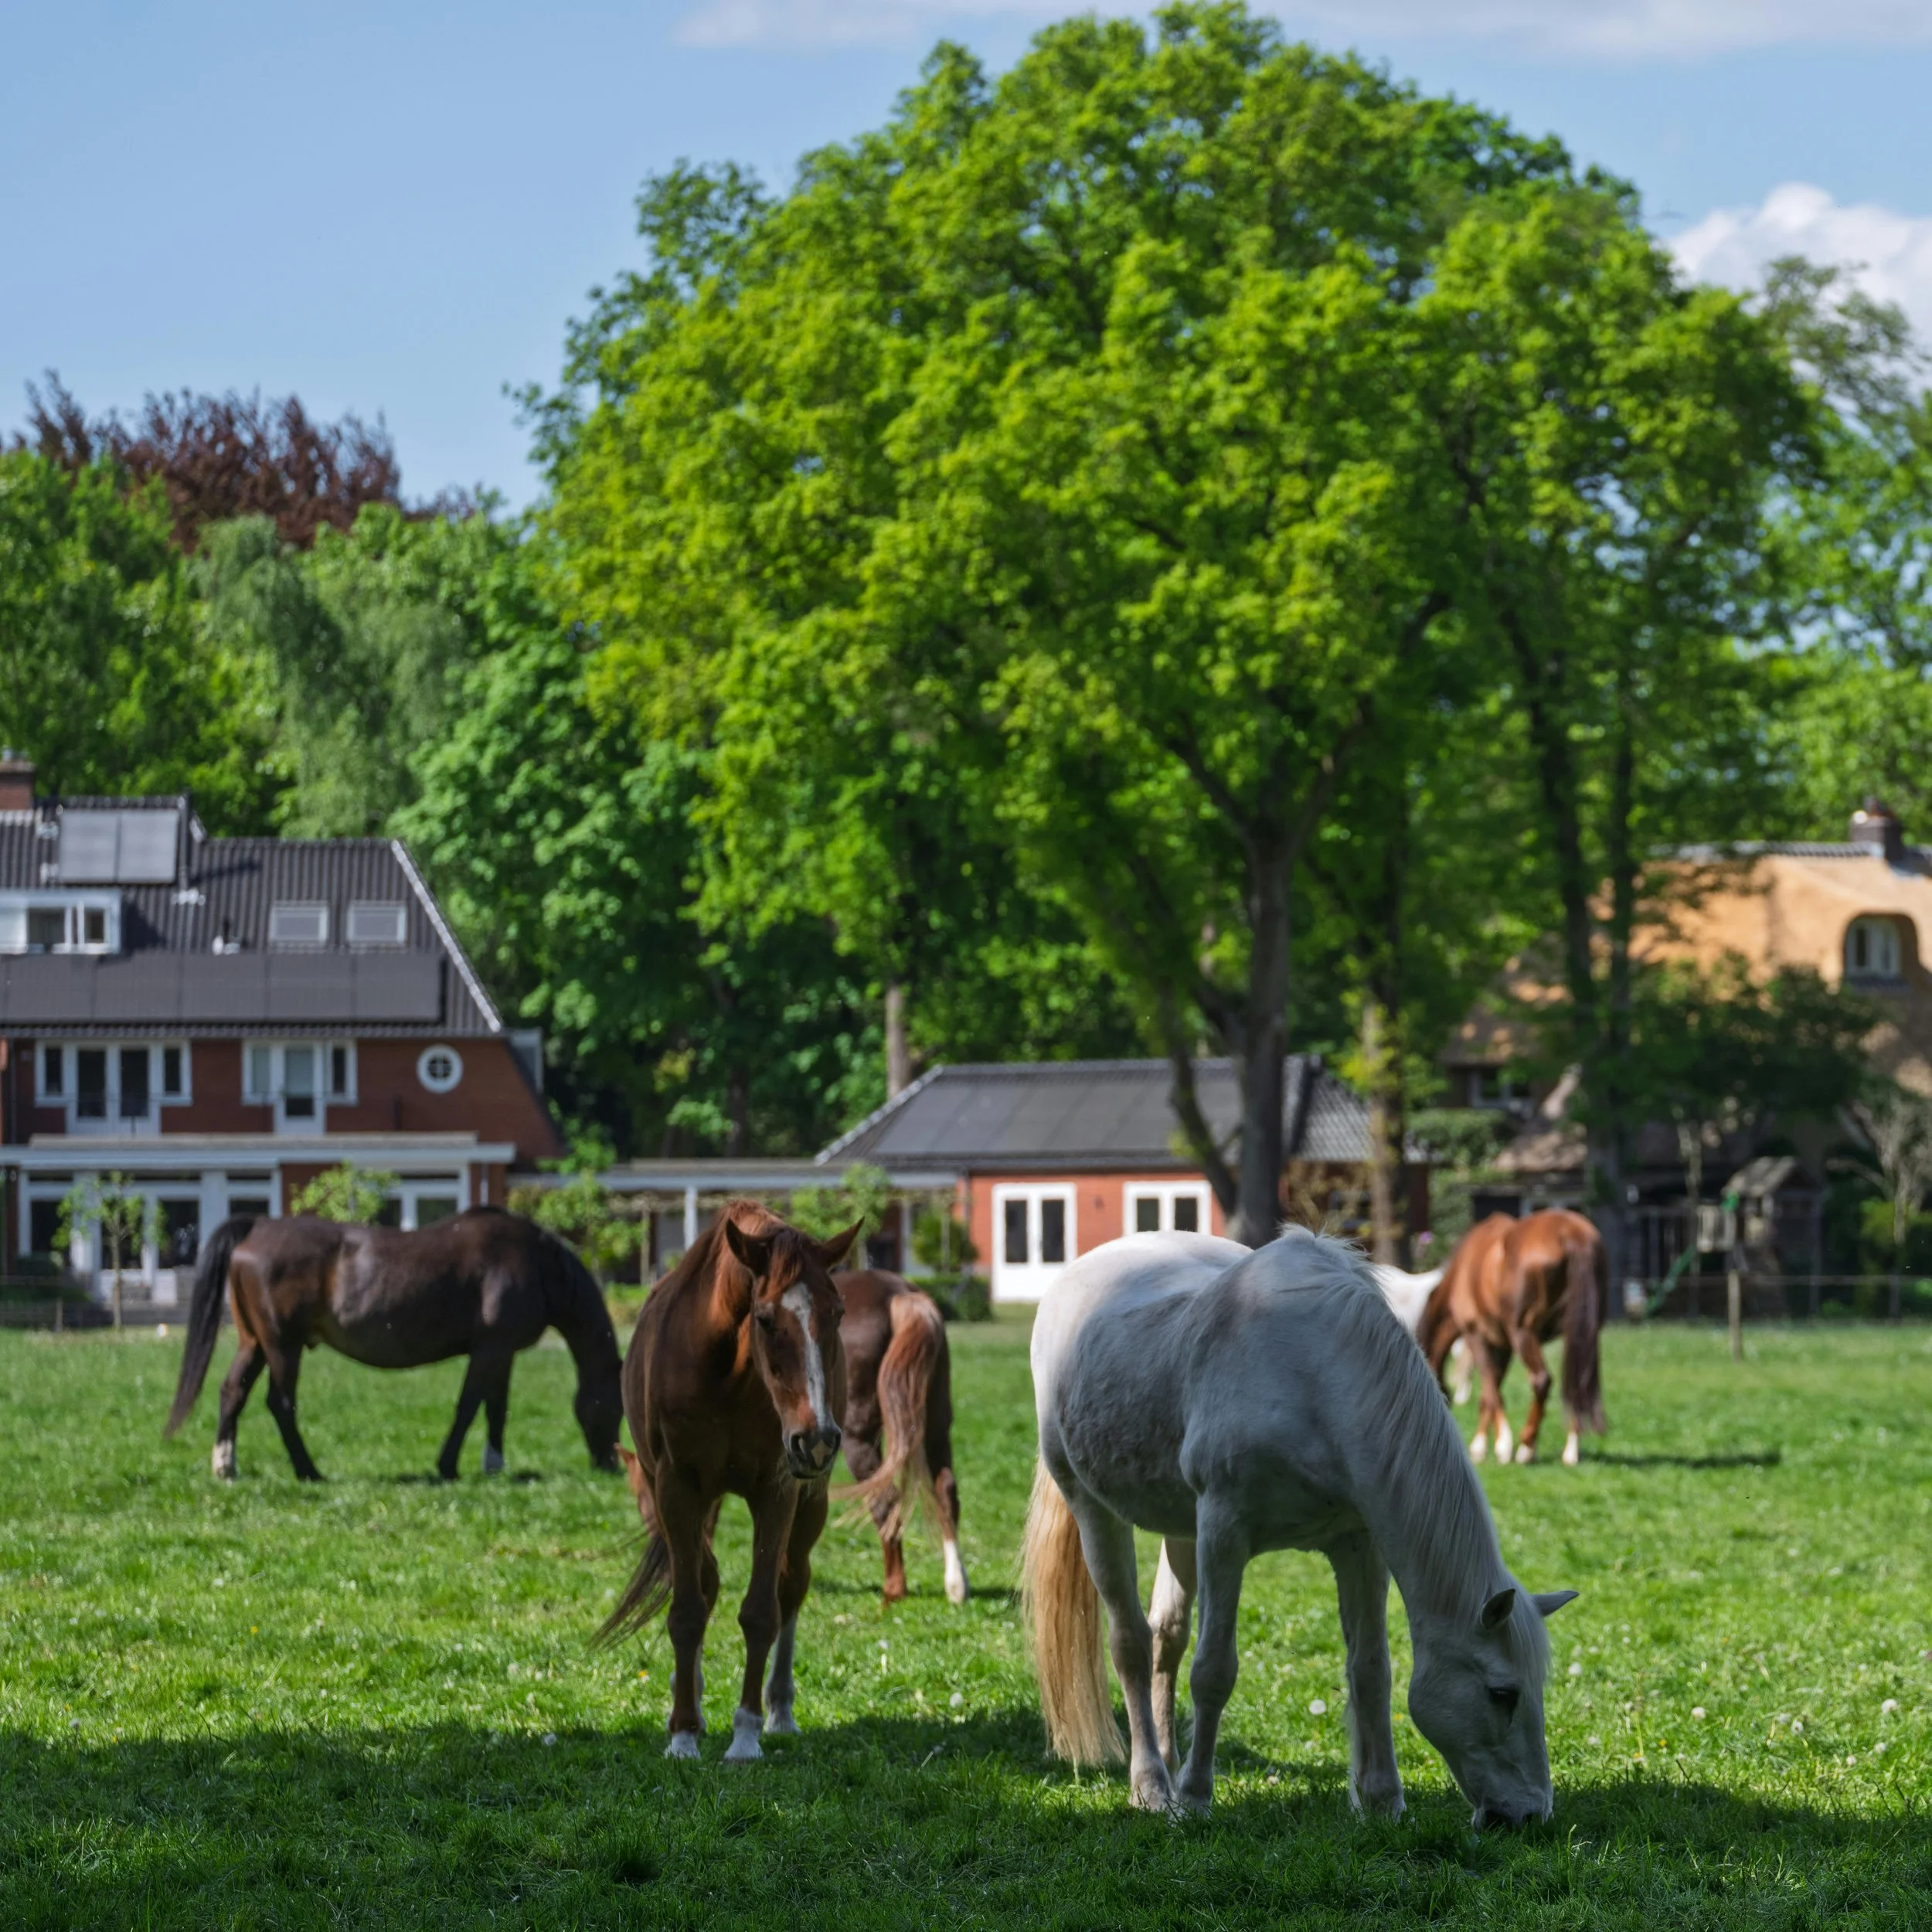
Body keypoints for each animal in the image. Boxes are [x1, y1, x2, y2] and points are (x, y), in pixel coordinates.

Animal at [163, 1207, 623, 1483]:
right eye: (617, 1406)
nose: (610, 1462)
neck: (536, 1263)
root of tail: (259, 1226)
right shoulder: (490, 1349)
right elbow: (470, 1405)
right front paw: (449, 1466)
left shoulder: (503, 1351)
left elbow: (496, 1408)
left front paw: (493, 1465)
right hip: (282, 1345)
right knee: (280, 1404)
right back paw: (308, 1470)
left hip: (255, 1342)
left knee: (232, 1392)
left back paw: (226, 1466)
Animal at [600, 1202, 859, 1763]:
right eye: (765, 1319)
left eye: (838, 1314)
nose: (818, 1439)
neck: (727, 1373)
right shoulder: (676, 1489)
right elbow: (687, 1608)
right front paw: (682, 1733)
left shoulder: (778, 1490)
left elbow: (762, 1611)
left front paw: (746, 1735)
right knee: (705, 1580)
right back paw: (692, 1701)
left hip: (811, 1502)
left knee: (792, 1583)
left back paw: (779, 1709)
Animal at [834, 1269, 970, 1606]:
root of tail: (898, 1295)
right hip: (936, 1426)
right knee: (946, 1488)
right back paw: (957, 1585)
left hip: (858, 1439)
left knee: (886, 1501)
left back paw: (894, 1590)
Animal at [1022, 1228, 1577, 1824]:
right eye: (1502, 1693)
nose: (1530, 1813)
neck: (1316, 1379)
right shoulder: (1224, 1531)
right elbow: (1213, 1670)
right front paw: (1195, 1798)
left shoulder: (1358, 1545)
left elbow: (1371, 1670)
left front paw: (1382, 1800)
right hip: (1093, 1509)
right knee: (1131, 1643)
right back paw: (1151, 1786)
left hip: (1180, 1528)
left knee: (1166, 1638)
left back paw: (1167, 1764)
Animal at [1417, 1210, 1608, 1468]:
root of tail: (1570, 1232)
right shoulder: (1503, 1345)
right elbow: (1491, 1391)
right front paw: (1481, 1446)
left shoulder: (1476, 1335)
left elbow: (1491, 1390)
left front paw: (1499, 1445)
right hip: (1580, 1334)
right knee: (1577, 1384)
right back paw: (1570, 1451)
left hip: (1523, 1333)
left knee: (1541, 1380)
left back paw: (1526, 1447)